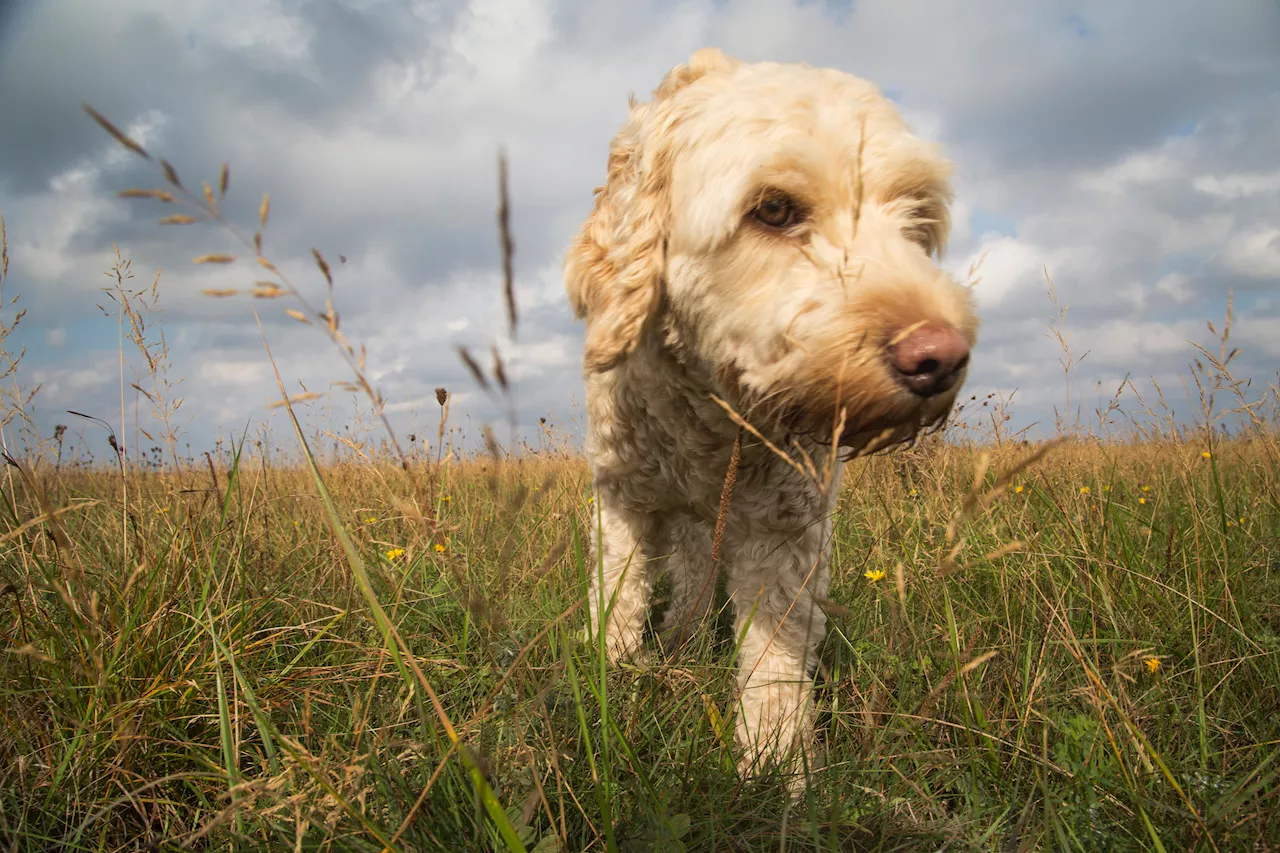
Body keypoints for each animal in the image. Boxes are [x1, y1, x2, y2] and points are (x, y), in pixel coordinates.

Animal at [563, 44, 977, 778]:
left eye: (916, 220)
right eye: (775, 209)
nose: (940, 357)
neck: (711, 414)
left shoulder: (789, 526)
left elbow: (775, 661)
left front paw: (775, 768)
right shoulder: (621, 499)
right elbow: (618, 595)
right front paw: (611, 675)